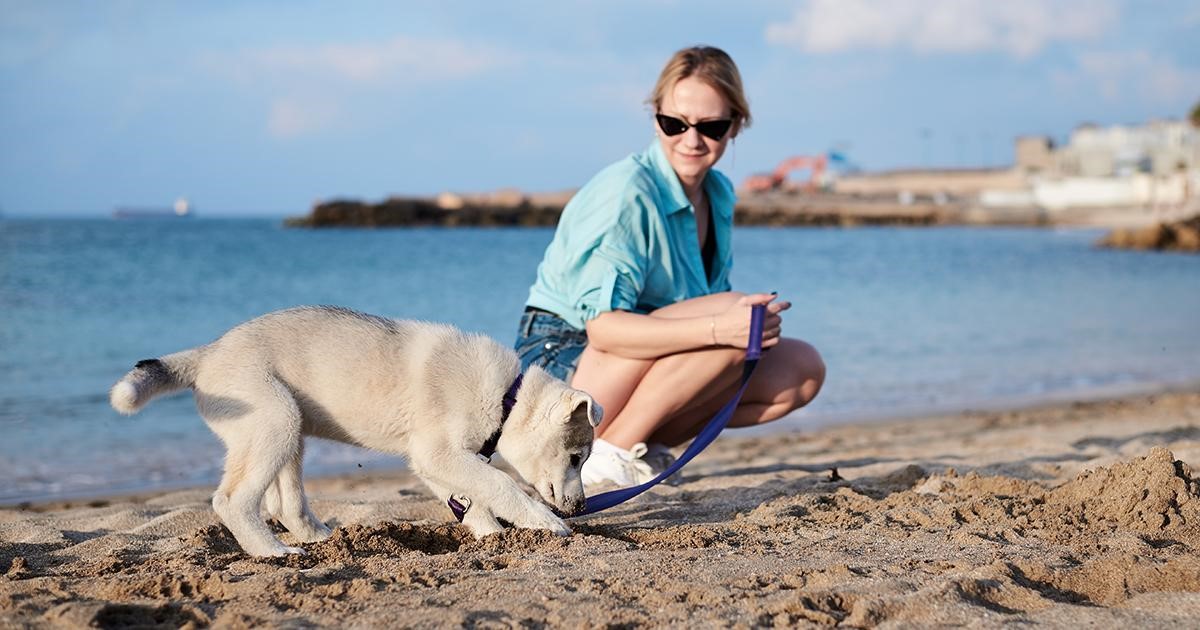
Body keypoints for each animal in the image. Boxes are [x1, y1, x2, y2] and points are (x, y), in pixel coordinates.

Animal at [110, 304, 600, 554]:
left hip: (289, 430)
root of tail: (209, 354)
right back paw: (273, 552)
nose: (580, 507)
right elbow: (500, 484)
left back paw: (321, 539)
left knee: (286, 506)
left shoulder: (437, 461)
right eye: (576, 458)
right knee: (231, 501)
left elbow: (474, 499)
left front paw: (494, 537)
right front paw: (545, 523)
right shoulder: (440, 453)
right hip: (275, 421)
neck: (505, 395)